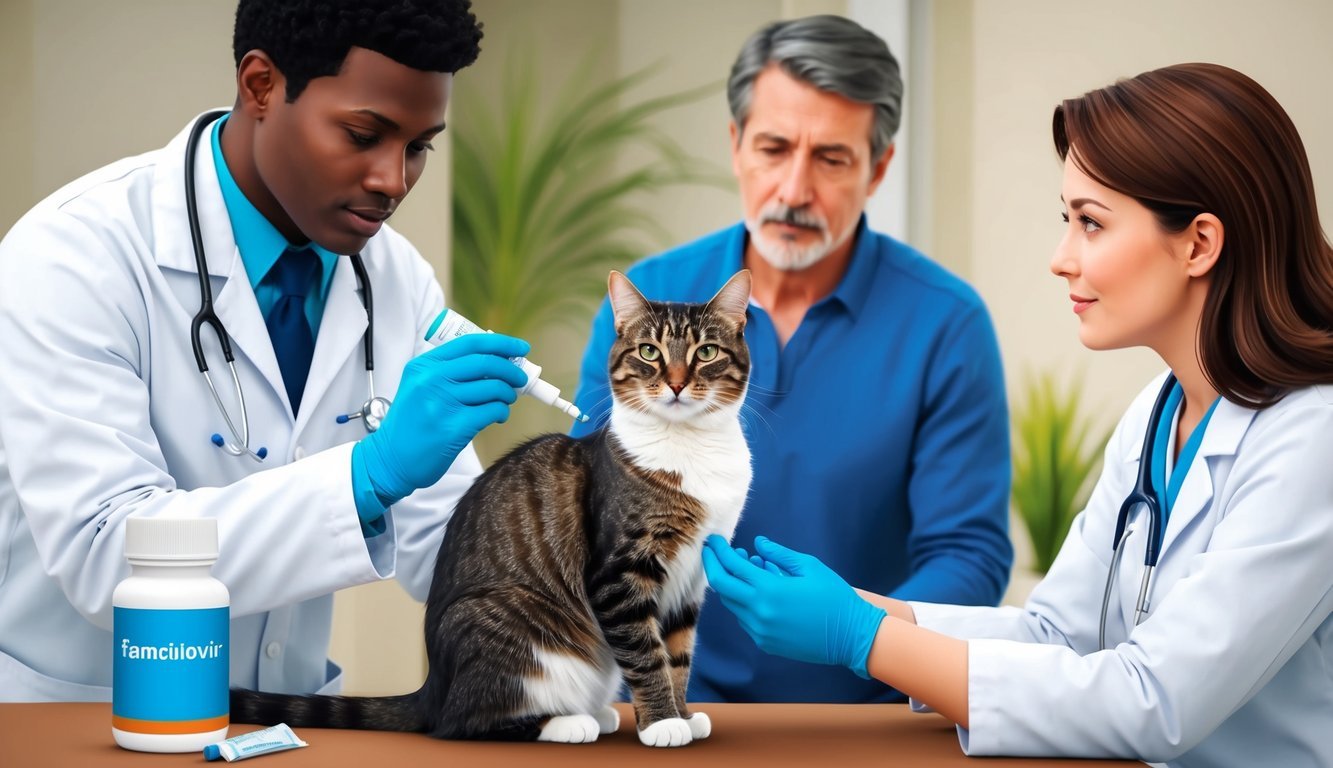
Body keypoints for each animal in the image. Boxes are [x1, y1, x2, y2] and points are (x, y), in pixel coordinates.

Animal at [234, 268, 757, 746]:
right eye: (649, 352)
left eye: (706, 352)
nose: (676, 384)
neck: (688, 449)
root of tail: (434, 687)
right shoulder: (619, 573)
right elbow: (648, 655)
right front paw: (663, 723)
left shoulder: (690, 580)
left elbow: (678, 654)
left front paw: (684, 714)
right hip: (513, 624)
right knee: (464, 721)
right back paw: (569, 722)